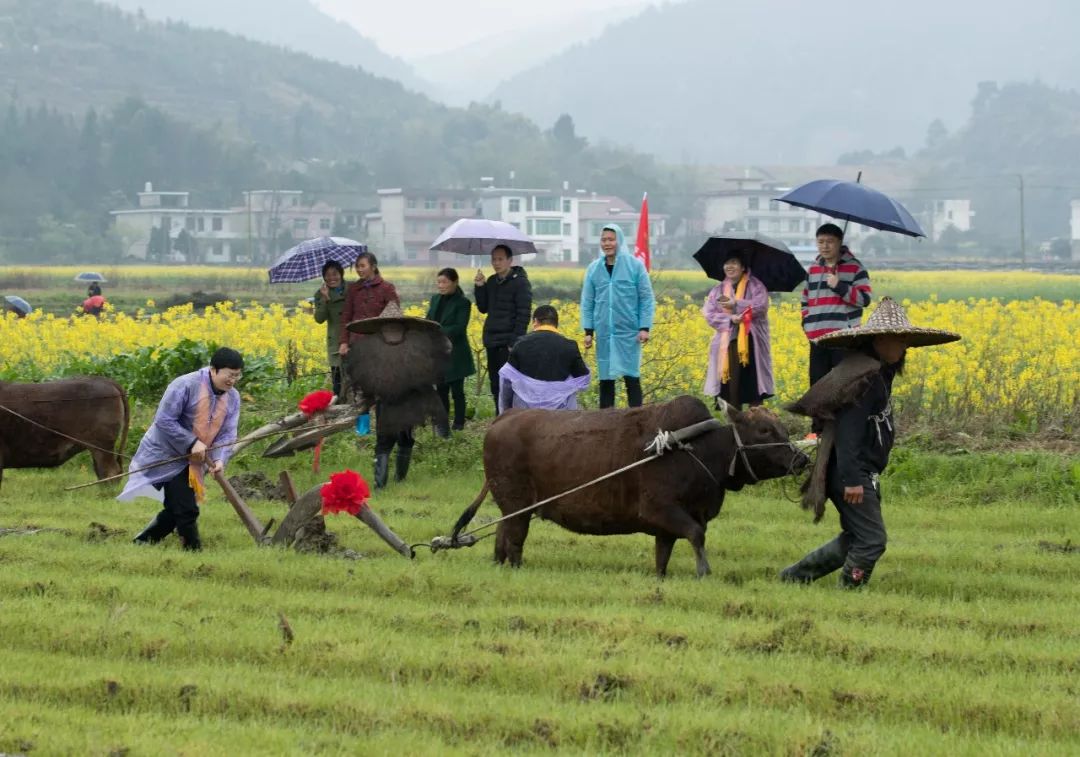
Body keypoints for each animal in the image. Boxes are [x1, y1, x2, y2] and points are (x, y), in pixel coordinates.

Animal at [451, 393, 807, 574]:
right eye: (764, 430)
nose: (802, 459)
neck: (697, 449)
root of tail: (504, 417)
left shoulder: (668, 526)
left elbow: (663, 555)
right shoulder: (661, 509)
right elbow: (696, 534)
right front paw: (704, 571)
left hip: (512, 507)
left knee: (502, 535)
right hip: (518, 505)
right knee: (514, 541)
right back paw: (516, 568)